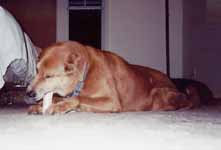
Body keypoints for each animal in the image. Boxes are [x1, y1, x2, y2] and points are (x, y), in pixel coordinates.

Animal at [26, 40, 197, 113]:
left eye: (49, 76)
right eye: (36, 70)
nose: (28, 93)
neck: (86, 73)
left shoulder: (112, 101)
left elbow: (78, 98)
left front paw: (60, 106)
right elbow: (59, 97)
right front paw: (40, 106)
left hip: (158, 93)